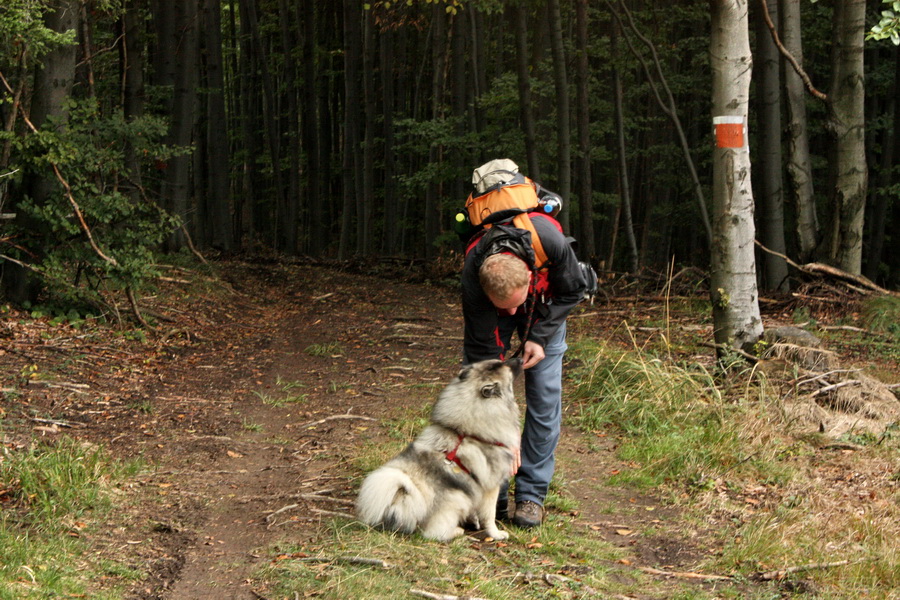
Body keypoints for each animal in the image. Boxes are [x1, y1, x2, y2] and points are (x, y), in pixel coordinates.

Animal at [354, 358, 520, 540]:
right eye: (503, 365)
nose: (519, 359)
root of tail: (405, 502)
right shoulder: (491, 486)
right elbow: (489, 515)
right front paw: (496, 534)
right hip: (458, 498)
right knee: (433, 533)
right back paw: (457, 531)